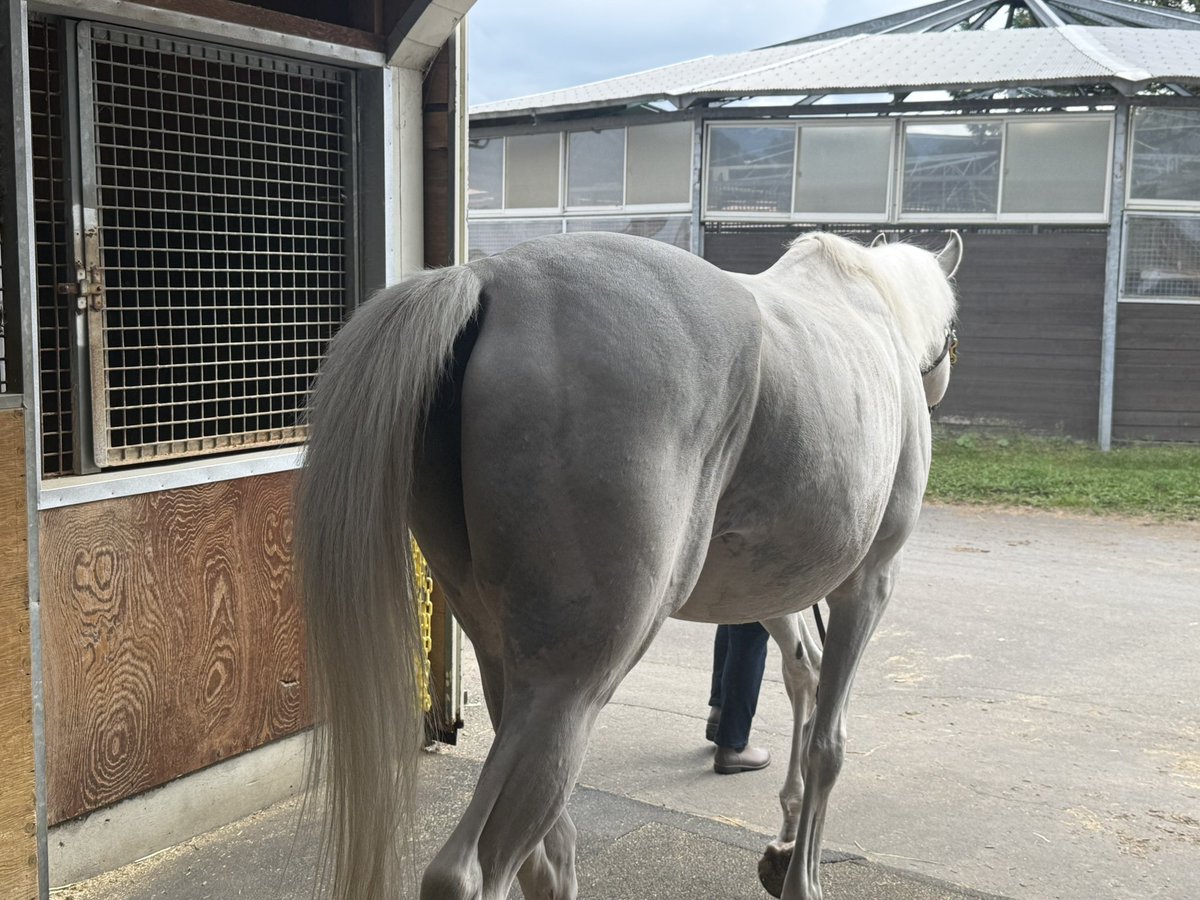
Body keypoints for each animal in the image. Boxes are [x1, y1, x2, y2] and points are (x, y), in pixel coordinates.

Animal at [294, 228, 961, 900]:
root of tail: (491, 278)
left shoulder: (771, 592)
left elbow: (805, 675)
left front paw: (784, 844)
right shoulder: (870, 583)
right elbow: (829, 737)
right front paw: (802, 878)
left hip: (503, 657)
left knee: (548, 852)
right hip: (577, 683)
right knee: (470, 869)